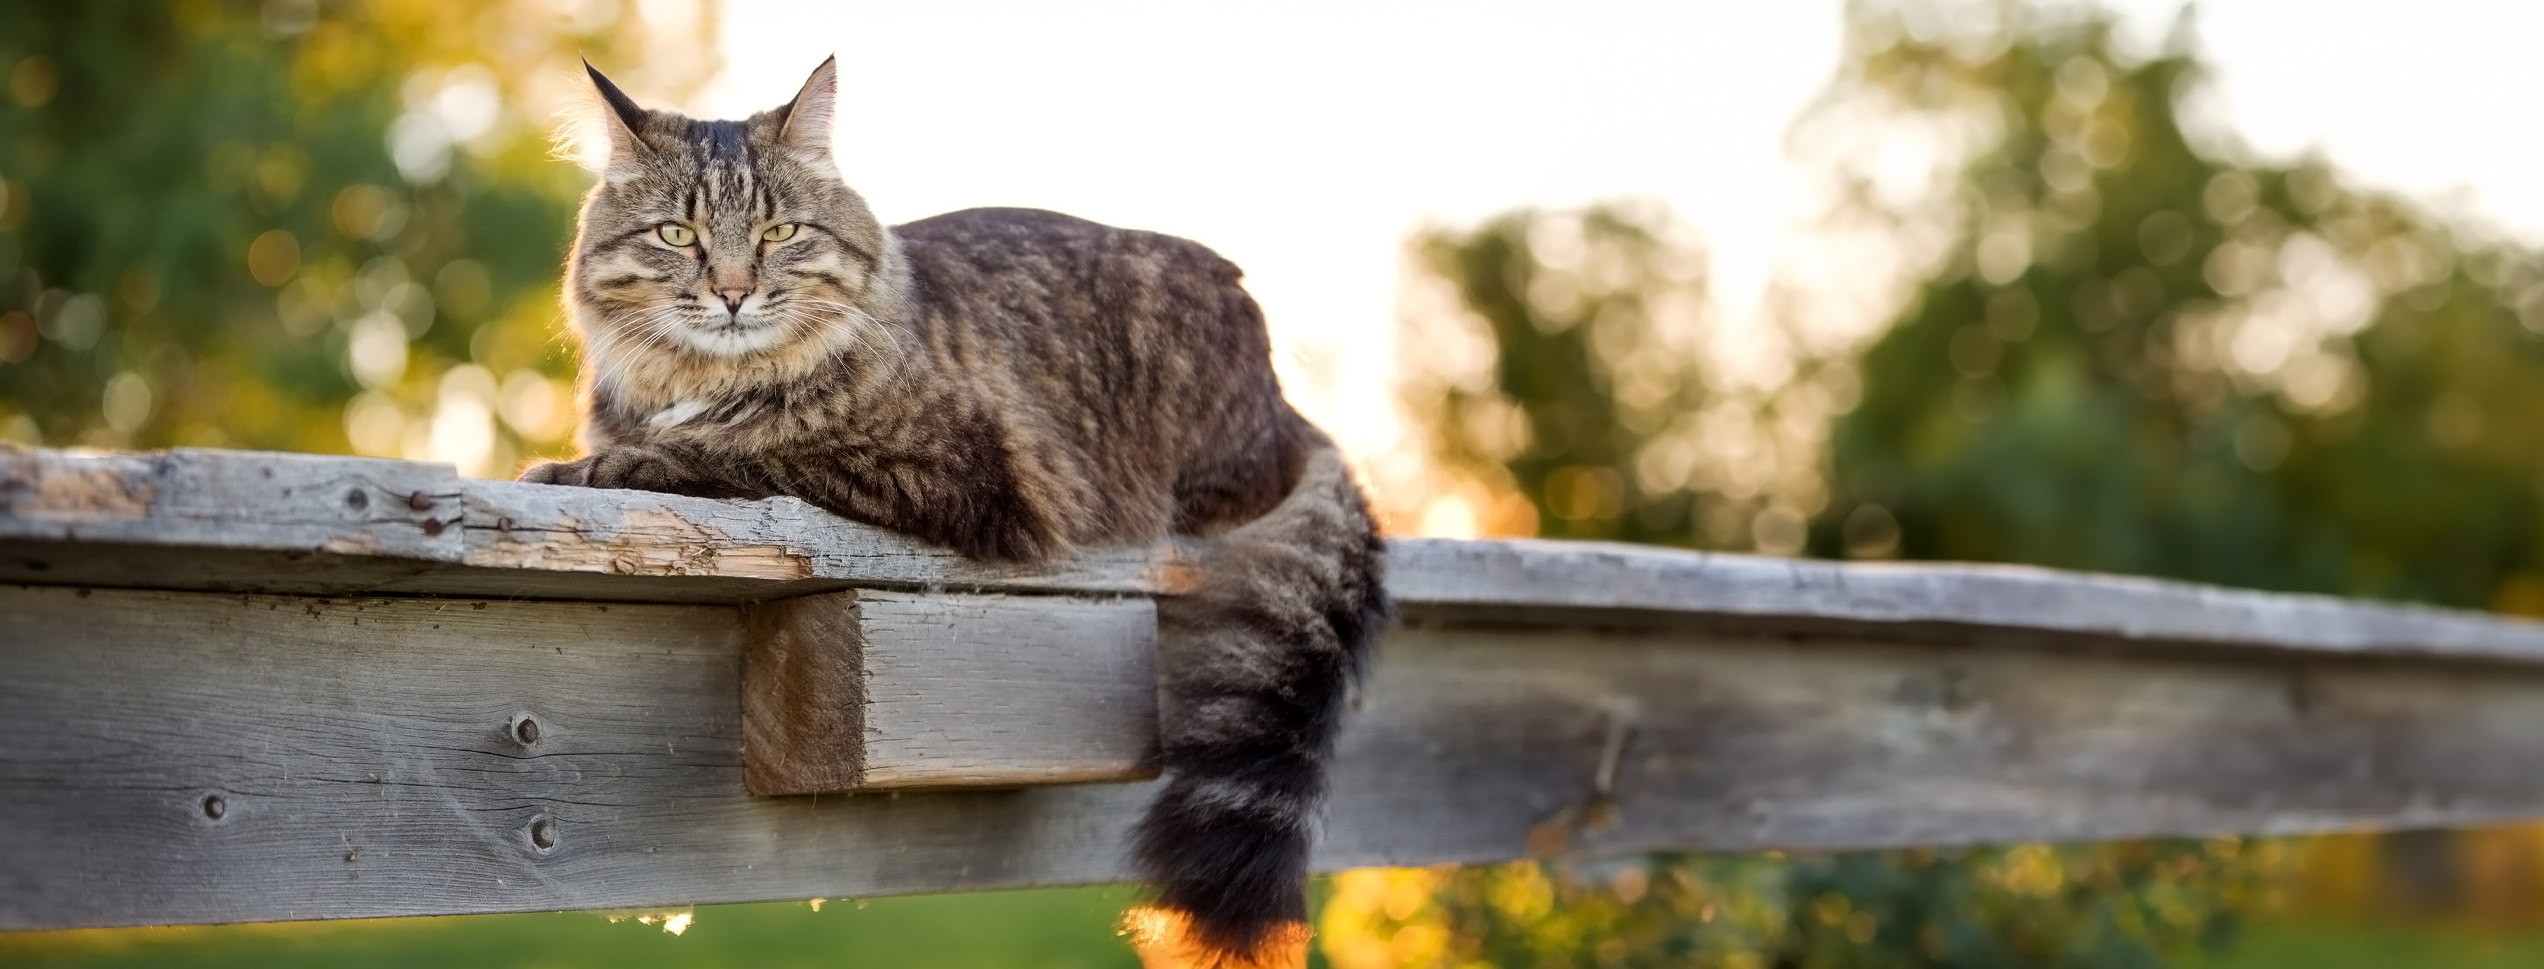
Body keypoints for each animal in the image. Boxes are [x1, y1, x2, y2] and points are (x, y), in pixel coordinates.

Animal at [521, 56, 1394, 961]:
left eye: (778, 233)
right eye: (677, 236)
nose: (732, 292)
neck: (707, 380)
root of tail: (1286, 403)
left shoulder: (955, 459)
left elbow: (742, 446)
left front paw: (597, 463)